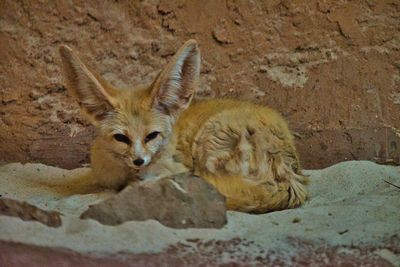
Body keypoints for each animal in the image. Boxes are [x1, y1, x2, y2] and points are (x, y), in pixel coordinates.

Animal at [57, 39, 308, 214]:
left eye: (152, 136)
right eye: (121, 138)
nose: (139, 160)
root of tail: (292, 180)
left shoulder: (174, 169)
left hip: (208, 140)